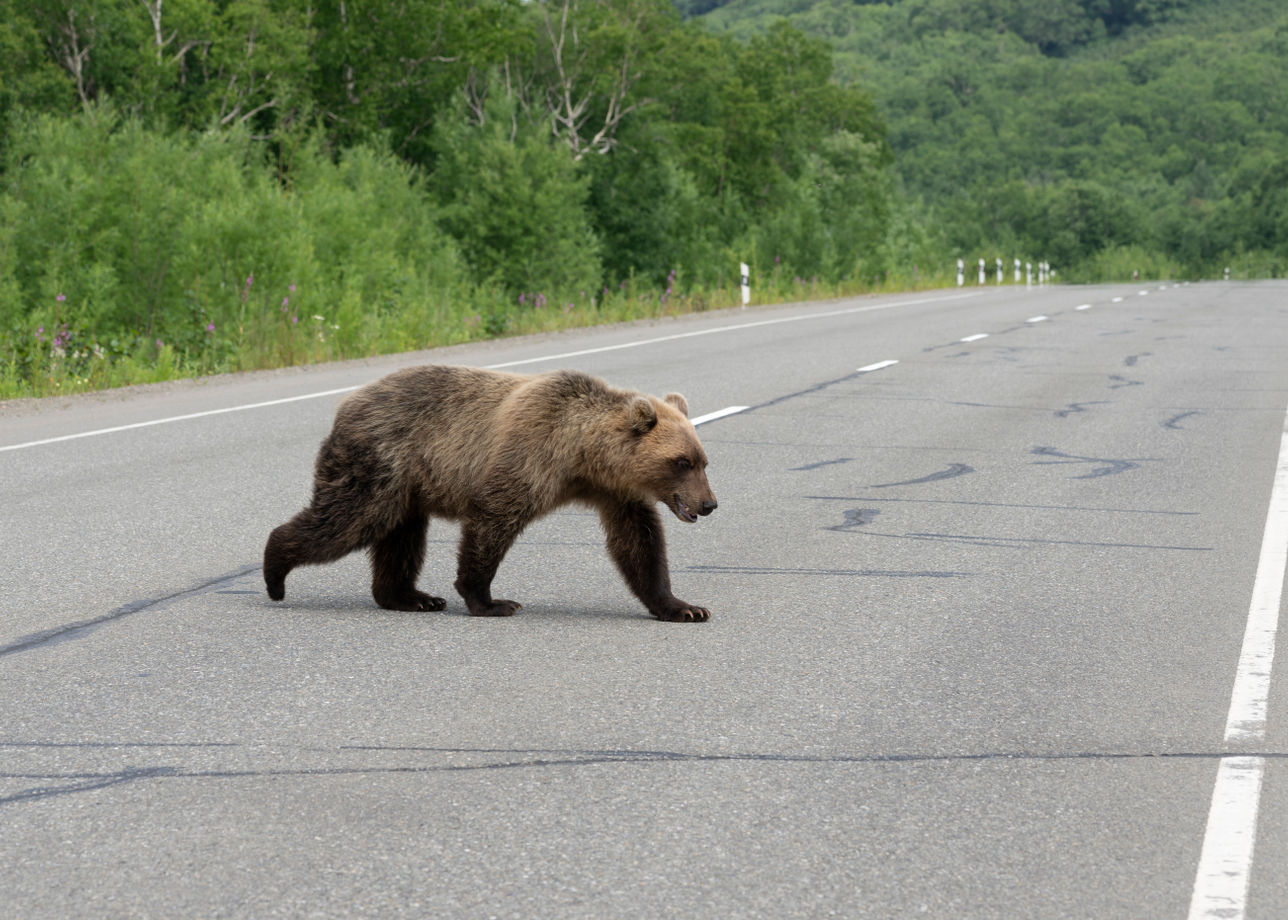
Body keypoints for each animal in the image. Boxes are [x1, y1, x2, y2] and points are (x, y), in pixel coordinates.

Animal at [265, 363, 721, 615]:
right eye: (681, 462)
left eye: (703, 461)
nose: (709, 503)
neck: (581, 456)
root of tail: (347, 403)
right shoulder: (529, 454)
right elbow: (494, 519)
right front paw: (491, 600)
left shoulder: (616, 492)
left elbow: (639, 543)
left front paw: (684, 607)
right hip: (381, 461)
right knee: (347, 520)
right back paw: (275, 573)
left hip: (407, 485)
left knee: (402, 537)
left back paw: (411, 596)